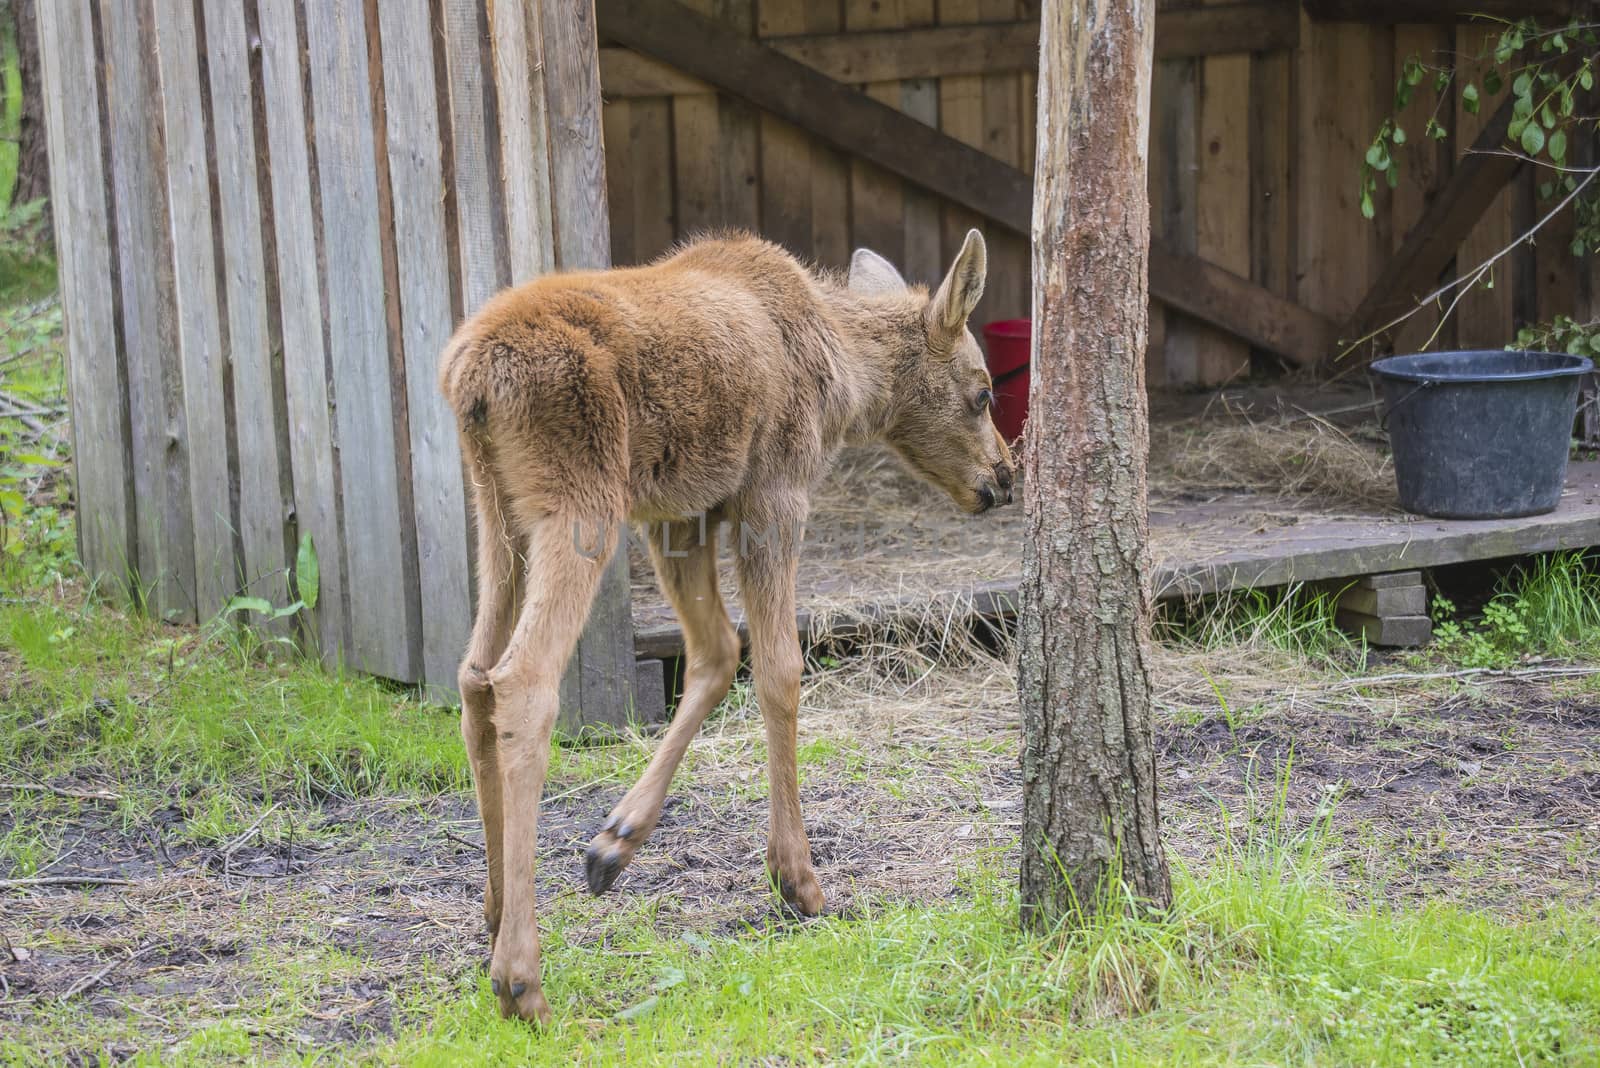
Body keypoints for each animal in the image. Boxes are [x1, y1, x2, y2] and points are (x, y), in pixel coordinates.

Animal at [438, 230, 1011, 1023]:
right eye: (982, 392)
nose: (1004, 477)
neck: (847, 379)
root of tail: (472, 381)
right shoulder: (775, 491)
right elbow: (779, 668)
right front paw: (797, 877)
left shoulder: (682, 514)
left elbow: (716, 653)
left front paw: (614, 841)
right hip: (580, 501)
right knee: (523, 681)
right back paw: (521, 977)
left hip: (499, 512)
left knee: (474, 677)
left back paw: (494, 915)